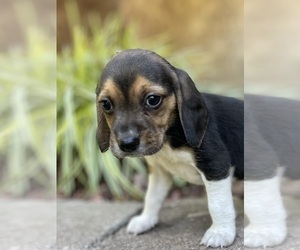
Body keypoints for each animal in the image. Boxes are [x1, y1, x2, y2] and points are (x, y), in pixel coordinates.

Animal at [96, 49, 244, 248]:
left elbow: (218, 204)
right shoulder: (159, 172)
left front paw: (221, 232)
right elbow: (152, 197)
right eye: (106, 104)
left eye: (153, 100)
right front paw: (146, 220)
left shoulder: (215, 166)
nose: (127, 143)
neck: (169, 137)